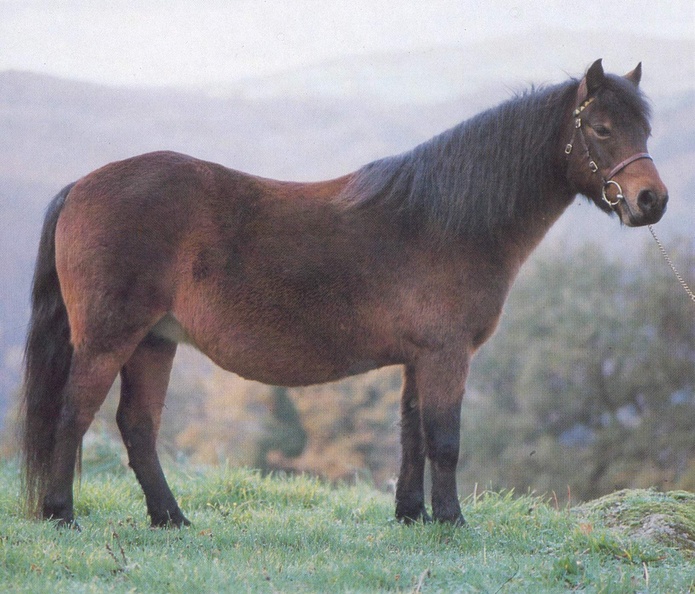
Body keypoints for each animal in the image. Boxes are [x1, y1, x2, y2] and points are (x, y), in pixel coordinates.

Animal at [20, 59, 668, 528]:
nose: (651, 200)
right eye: (602, 128)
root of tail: (82, 186)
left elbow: (410, 437)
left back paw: (171, 520)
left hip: (154, 342)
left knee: (137, 427)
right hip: (109, 341)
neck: (446, 221)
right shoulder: (446, 355)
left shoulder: (419, 358)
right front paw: (453, 523)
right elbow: (445, 440)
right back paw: (62, 516)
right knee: (74, 416)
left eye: (645, 128)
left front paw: (412, 517)